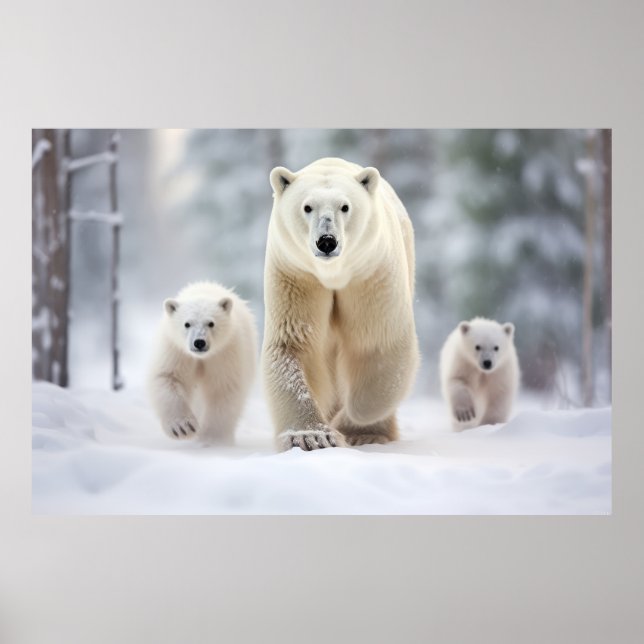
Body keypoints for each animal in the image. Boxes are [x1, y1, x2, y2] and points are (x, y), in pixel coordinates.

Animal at [147, 281, 257, 444]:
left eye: (211, 323)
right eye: (187, 324)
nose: (199, 342)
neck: (201, 358)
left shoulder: (225, 354)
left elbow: (223, 390)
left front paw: (212, 438)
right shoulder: (176, 350)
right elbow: (168, 377)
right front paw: (183, 427)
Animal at [261, 157, 420, 451]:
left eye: (345, 206)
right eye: (307, 207)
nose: (327, 241)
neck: (333, 274)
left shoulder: (370, 274)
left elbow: (377, 344)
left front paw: (351, 424)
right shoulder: (296, 275)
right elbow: (293, 345)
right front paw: (312, 436)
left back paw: (372, 434)